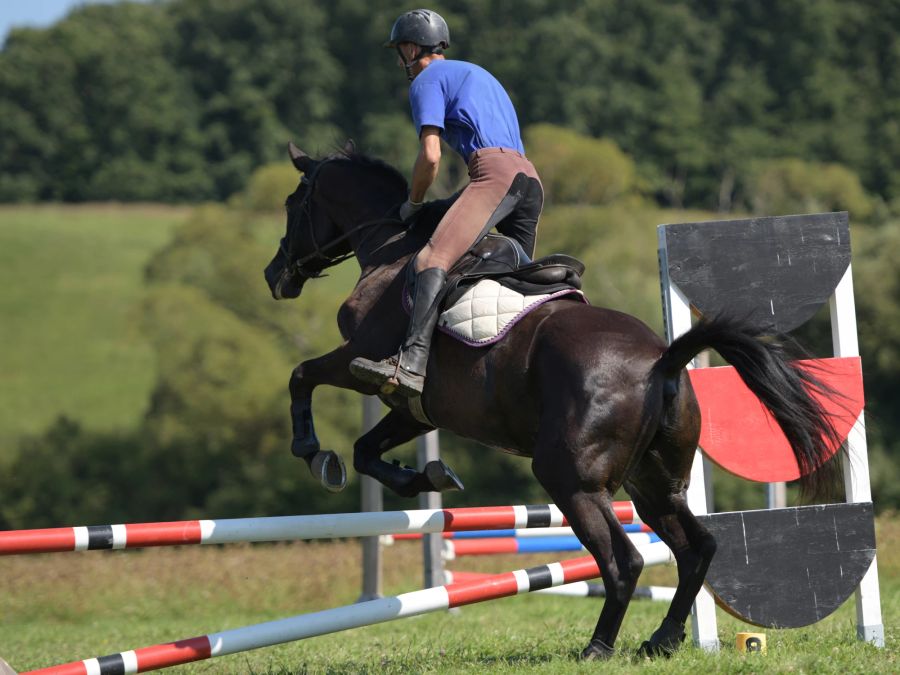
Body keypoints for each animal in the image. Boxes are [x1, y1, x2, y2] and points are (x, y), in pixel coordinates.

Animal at [264, 143, 840, 660]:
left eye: (294, 203)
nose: (275, 275)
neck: (392, 250)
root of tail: (663, 360)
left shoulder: (360, 362)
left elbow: (301, 376)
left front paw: (312, 452)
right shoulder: (412, 407)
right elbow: (365, 450)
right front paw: (426, 476)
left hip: (571, 479)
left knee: (625, 560)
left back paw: (599, 647)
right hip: (653, 482)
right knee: (697, 548)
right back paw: (662, 639)